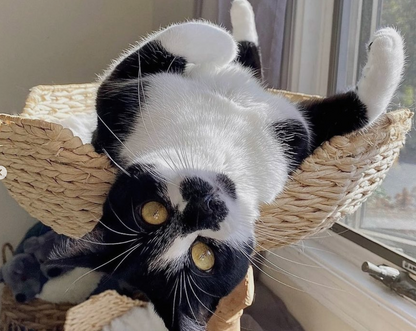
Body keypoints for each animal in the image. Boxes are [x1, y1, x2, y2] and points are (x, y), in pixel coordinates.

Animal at [45, 0, 404, 331]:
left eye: (151, 212)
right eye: (203, 256)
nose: (205, 206)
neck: (216, 150)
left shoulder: (117, 102)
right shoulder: (118, 97)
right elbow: (354, 111)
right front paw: (389, 45)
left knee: (252, 64)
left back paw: (240, 14)